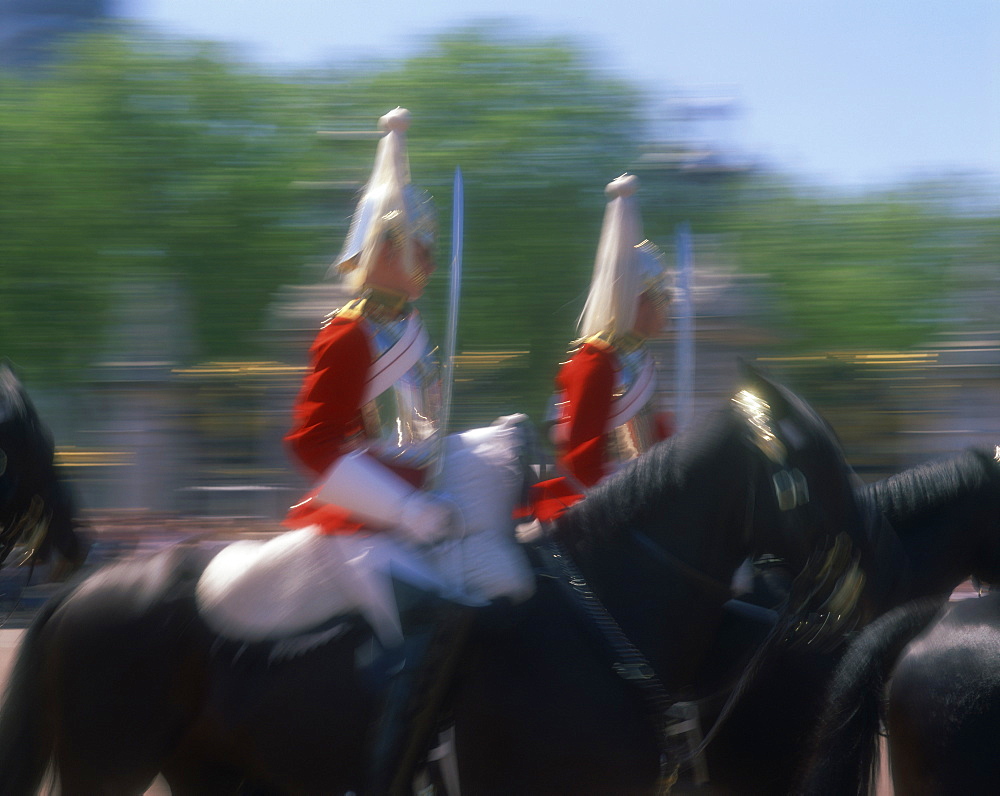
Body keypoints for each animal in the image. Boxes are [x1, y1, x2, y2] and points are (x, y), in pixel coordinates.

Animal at [0, 372, 864, 796]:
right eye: (816, 465)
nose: (852, 593)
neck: (604, 617)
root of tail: (86, 590)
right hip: (109, 766)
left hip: (208, 771)